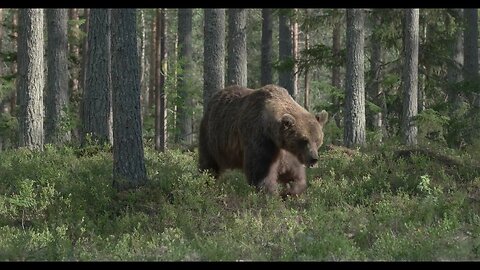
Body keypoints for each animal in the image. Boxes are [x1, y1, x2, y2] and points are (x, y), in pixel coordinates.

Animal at [197, 83, 328, 197]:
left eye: (317, 140)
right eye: (304, 140)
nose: (314, 158)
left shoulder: (287, 152)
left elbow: (294, 173)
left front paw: (289, 191)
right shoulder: (260, 139)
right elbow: (260, 172)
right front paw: (270, 193)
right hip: (213, 137)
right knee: (208, 163)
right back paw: (205, 182)